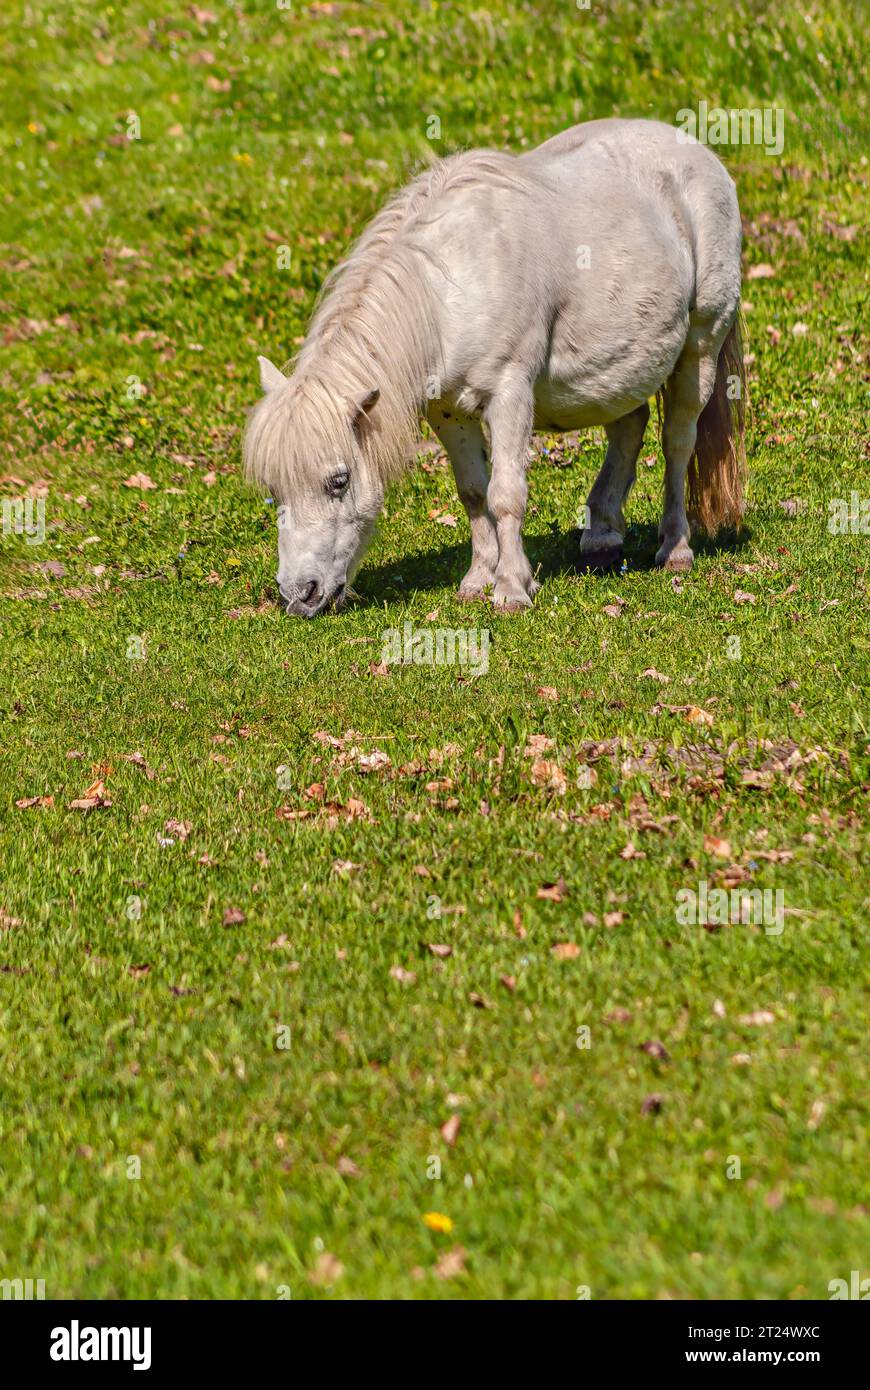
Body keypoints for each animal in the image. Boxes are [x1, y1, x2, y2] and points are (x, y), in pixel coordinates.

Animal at [240, 116, 739, 617]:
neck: (447, 292)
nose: (300, 593)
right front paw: (478, 578)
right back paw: (601, 538)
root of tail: (697, 151)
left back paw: (675, 548)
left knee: (678, 441)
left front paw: (512, 587)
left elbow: (505, 494)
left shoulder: (509, 394)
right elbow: (474, 492)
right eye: (274, 490)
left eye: (338, 482)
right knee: (629, 426)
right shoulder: (447, 412)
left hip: (701, 345)